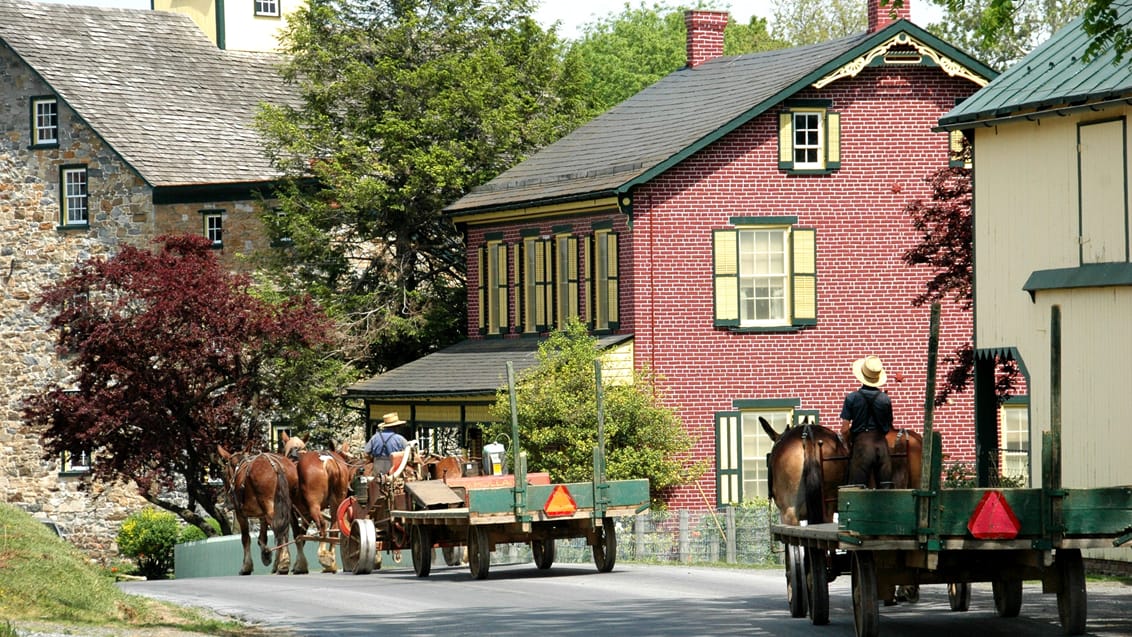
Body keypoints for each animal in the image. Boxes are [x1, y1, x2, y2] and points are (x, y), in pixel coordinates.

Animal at [215, 445, 296, 574]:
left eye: (223, 474)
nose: (226, 499)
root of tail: (276, 465)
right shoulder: (262, 515)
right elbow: (262, 537)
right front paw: (266, 554)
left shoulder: (240, 514)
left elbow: (246, 538)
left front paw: (246, 566)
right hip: (289, 506)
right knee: (286, 529)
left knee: (280, 530)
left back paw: (283, 562)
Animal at [280, 434, 355, 572]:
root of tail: (328, 461)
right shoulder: (305, 514)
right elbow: (302, 535)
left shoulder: (293, 512)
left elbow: (298, 535)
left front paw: (298, 565)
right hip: (336, 504)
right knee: (334, 529)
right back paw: (331, 561)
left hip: (314, 506)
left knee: (322, 525)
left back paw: (324, 556)